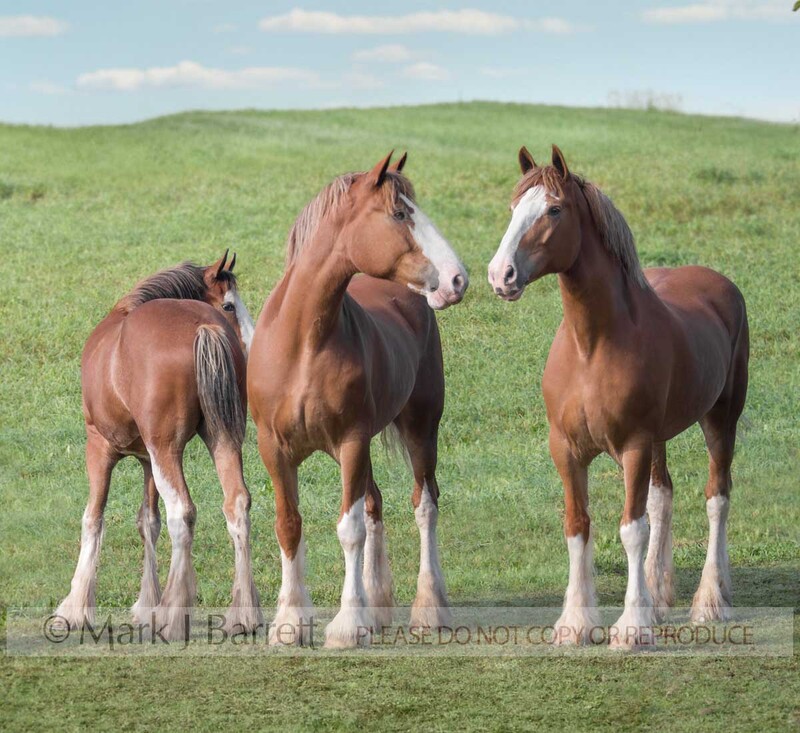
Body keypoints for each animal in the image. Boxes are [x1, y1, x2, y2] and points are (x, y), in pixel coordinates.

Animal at [55, 251, 261, 640]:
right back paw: (243, 615)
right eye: (229, 304)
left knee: (182, 512)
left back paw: (173, 615)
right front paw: (145, 604)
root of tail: (201, 326)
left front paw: (75, 607)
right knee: (237, 503)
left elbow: (93, 518)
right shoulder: (146, 459)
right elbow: (147, 522)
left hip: (166, 452)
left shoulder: (99, 447)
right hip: (220, 440)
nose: (256, 345)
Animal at [247, 152, 468, 648]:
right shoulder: (275, 449)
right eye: (400, 213)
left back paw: (429, 609)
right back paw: (378, 605)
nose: (456, 279)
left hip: (420, 429)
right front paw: (290, 623)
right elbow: (289, 525)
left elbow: (348, 531)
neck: (303, 344)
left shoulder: (350, 442)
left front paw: (347, 625)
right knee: (375, 505)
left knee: (424, 504)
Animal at [488, 146, 749, 647]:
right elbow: (578, 526)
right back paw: (659, 594)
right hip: (662, 438)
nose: (500, 274)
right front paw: (575, 622)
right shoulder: (566, 449)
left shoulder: (633, 446)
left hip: (719, 420)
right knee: (663, 496)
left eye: (553, 210)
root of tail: (721, 284)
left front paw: (631, 627)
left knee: (718, 497)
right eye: (513, 208)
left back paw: (710, 601)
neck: (592, 346)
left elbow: (631, 529)